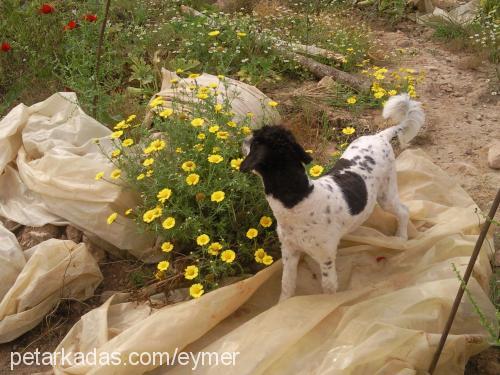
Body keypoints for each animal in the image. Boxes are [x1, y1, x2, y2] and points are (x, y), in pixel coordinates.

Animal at [240, 94, 424, 302]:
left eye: (254, 141)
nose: (243, 138)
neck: (300, 199)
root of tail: (380, 136)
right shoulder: (289, 251)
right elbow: (287, 284)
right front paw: (283, 305)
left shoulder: (326, 258)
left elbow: (328, 288)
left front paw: (328, 304)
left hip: (386, 195)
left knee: (404, 211)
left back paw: (401, 237)